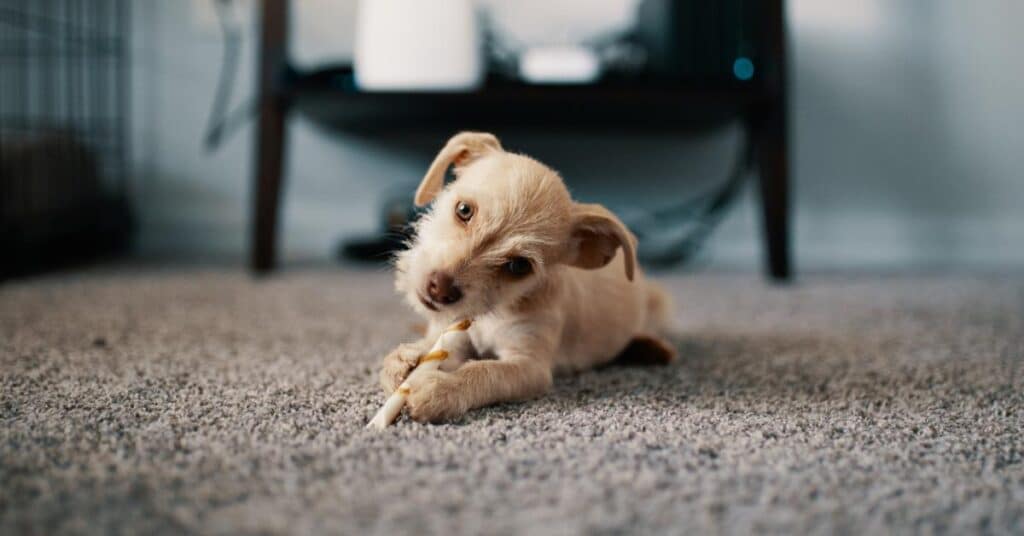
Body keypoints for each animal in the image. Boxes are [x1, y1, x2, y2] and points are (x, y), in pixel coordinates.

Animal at [380, 131, 675, 424]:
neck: (494, 312)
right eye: (463, 210)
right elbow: (434, 347)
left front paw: (441, 388)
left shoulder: (529, 366)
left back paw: (650, 348)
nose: (439, 290)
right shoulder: (454, 336)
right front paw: (404, 360)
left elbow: (485, 371)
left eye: (519, 266)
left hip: (658, 302)